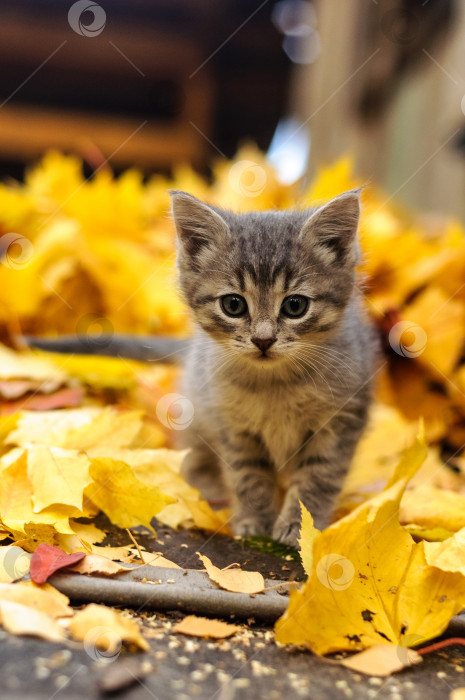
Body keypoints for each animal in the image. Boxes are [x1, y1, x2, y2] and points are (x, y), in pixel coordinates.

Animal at [169, 187, 376, 548]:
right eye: (233, 305)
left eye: (295, 306)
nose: (263, 340)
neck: (275, 385)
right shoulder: (233, 426)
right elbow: (247, 476)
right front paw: (255, 520)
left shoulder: (340, 422)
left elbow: (317, 478)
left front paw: (300, 527)